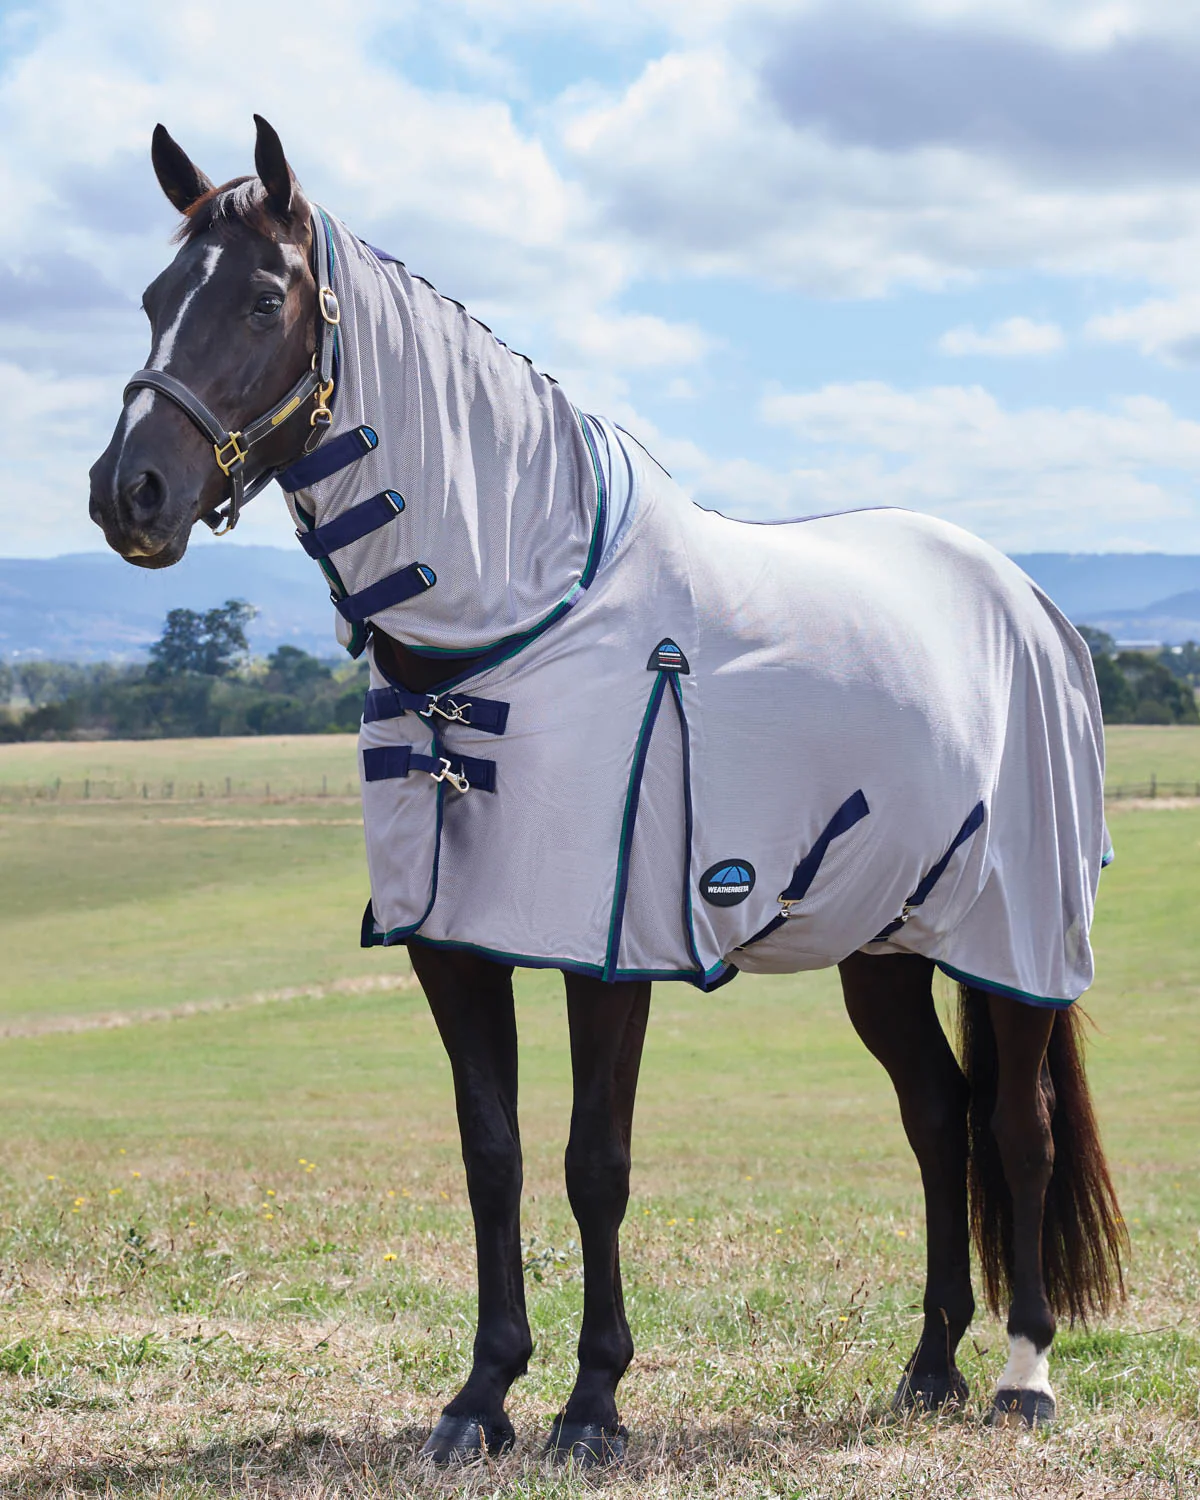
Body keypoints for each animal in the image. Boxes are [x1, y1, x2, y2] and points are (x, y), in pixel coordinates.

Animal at [88, 117, 1127, 1466]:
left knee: (1018, 1129)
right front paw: (480, 1397)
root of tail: (1032, 604)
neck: (513, 617)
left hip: (1015, 936)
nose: (130, 495)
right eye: (155, 298)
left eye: (265, 298)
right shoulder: (454, 943)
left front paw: (592, 1405)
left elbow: (597, 1162)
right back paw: (929, 1366)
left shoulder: (608, 946)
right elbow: (493, 1154)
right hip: (884, 942)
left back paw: (1022, 1376)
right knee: (938, 1117)